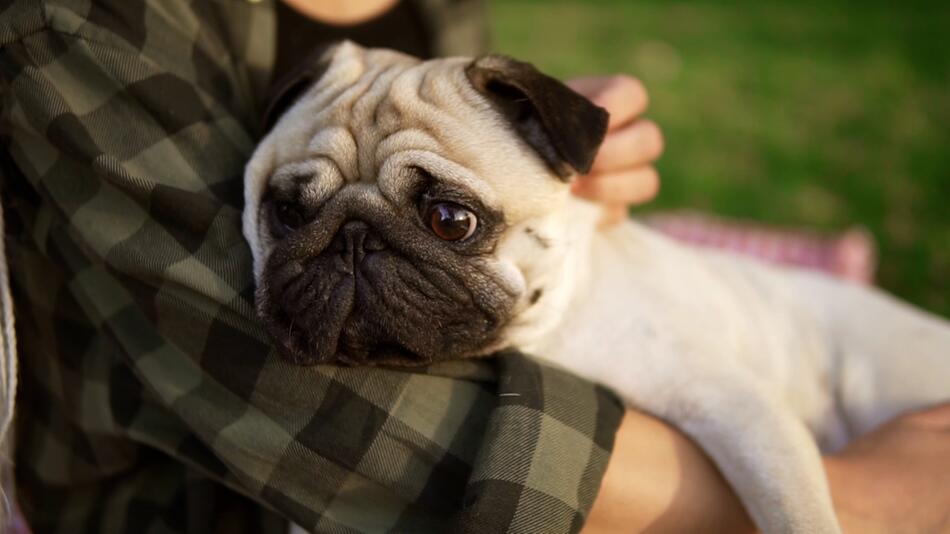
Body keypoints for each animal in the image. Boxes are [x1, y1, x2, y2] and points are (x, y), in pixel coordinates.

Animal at [244, 43, 950, 534]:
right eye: (289, 213)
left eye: (450, 219)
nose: (352, 240)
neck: (554, 330)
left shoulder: (742, 411)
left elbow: (795, 510)